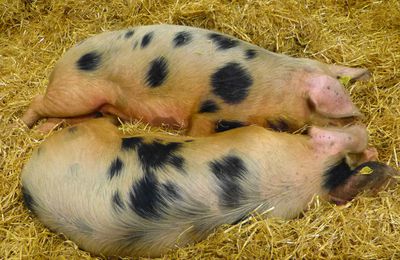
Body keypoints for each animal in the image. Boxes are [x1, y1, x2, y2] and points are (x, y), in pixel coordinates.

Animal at [20, 23, 370, 136]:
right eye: (339, 116)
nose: (360, 124)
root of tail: (62, 61)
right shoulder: (211, 108)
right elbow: (199, 130)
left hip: (92, 108)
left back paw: (42, 130)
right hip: (75, 93)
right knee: (37, 101)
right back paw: (20, 126)